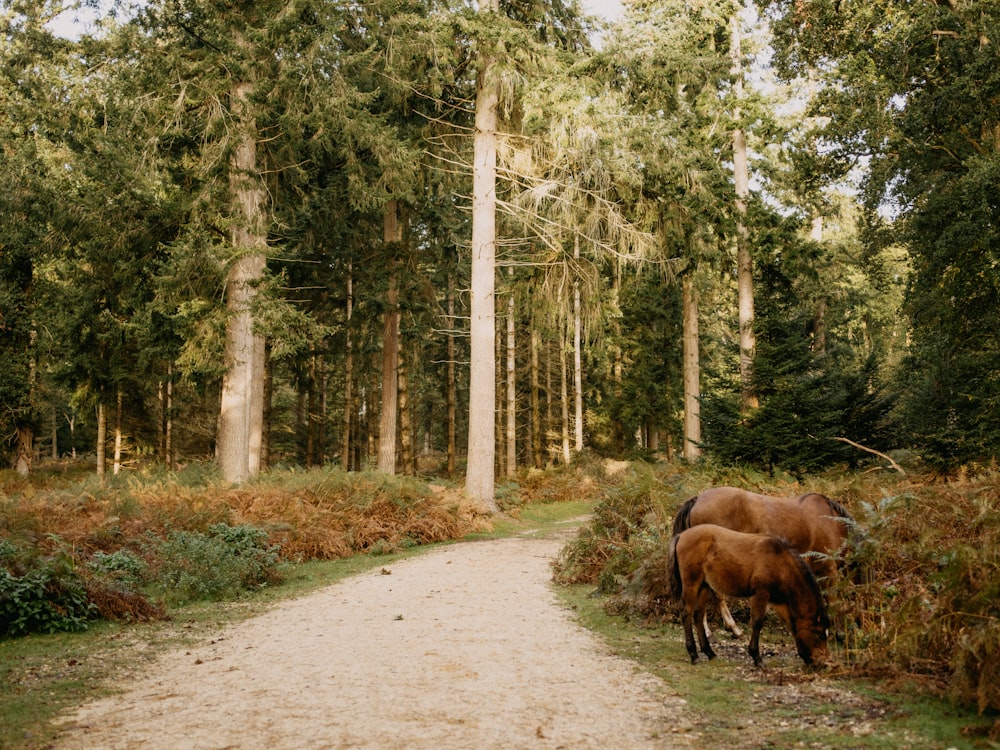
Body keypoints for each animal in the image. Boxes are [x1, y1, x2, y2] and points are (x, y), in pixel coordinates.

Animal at [672, 488, 852, 640]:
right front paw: (837, 632)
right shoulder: (828, 568)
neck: (833, 523)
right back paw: (731, 628)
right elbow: (833, 599)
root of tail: (698, 499)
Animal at [672, 524, 828, 668]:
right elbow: (757, 622)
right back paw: (694, 655)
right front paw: (756, 657)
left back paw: (709, 652)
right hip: (692, 584)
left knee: (698, 616)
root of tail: (682, 535)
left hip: (704, 585)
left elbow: (791, 624)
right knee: (686, 612)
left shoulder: (779, 602)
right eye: (820, 634)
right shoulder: (761, 593)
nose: (823, 663)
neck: (780, 562)